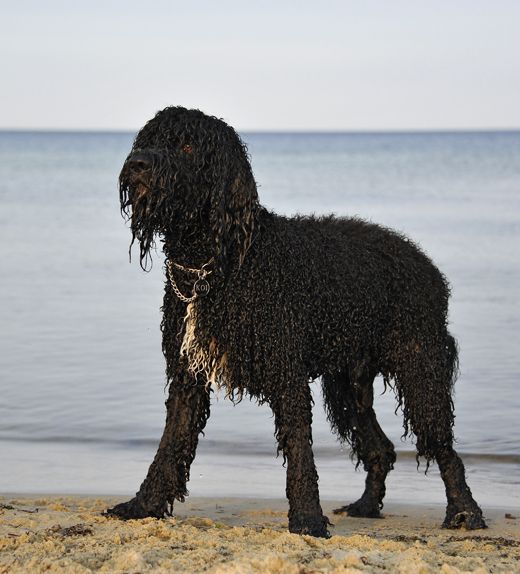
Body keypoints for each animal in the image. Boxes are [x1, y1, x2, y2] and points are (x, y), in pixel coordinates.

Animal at [106, 106, 488, 536]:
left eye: (187, 145)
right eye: (148, 140)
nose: (137, 164)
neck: (218, 262)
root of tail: (428, 265)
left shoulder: (286, 372)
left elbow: (300, 452)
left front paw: (306, 517)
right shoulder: (188, 375)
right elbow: (170, 445)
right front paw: (143, 505)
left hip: (419, 367)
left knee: (444, 448)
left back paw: (464, 511)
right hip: (349, 386)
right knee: (381, 450)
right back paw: (367, 504)